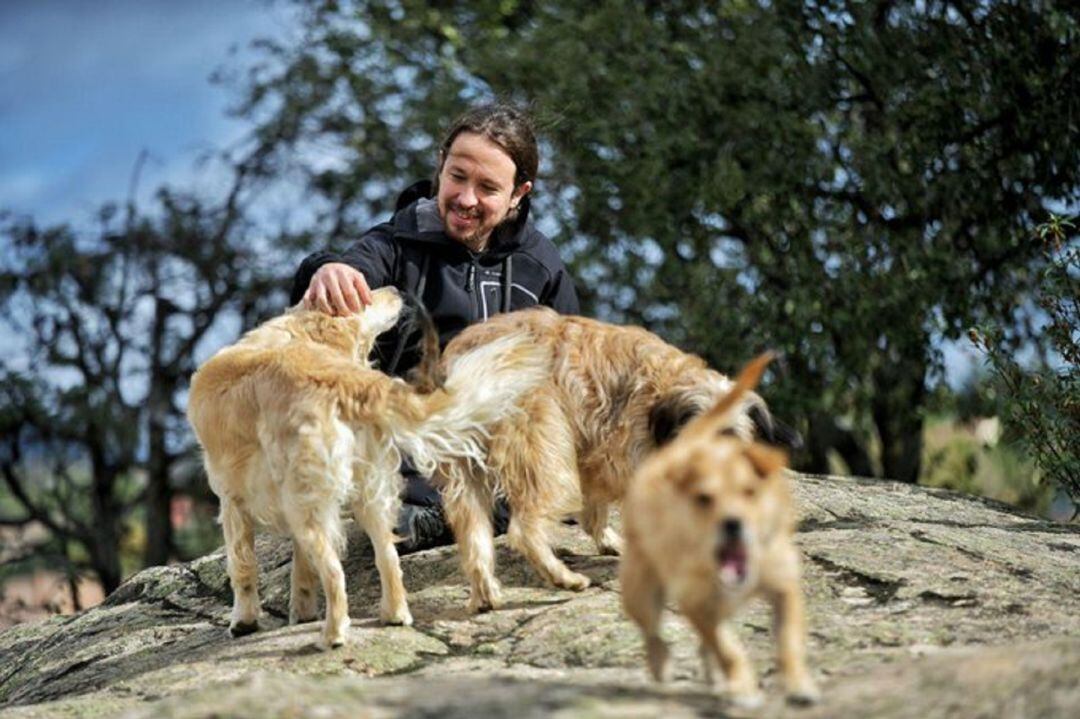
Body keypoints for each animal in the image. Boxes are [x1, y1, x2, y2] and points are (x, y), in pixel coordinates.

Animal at [184, 287, 548, 647]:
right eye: (366, 297)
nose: (396, 290)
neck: (303, 332)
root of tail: (340, 379)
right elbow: (301, 568)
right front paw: (301, 612)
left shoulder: (231, 499)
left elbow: (242, 566)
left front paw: (243, 622)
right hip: (369, 492)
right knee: (387, 556)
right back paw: (395, 614)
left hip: (309, 504)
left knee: (334, 572)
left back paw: (333, 635)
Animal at [432, 306, 803, 608]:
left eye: (731, 440)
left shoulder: (597, 458)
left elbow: (595, 511)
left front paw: (611, 541)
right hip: (545, 453)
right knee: (523, 529)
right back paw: (563, 577)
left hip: (467, 472)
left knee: (475, 537)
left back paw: (486, 594)